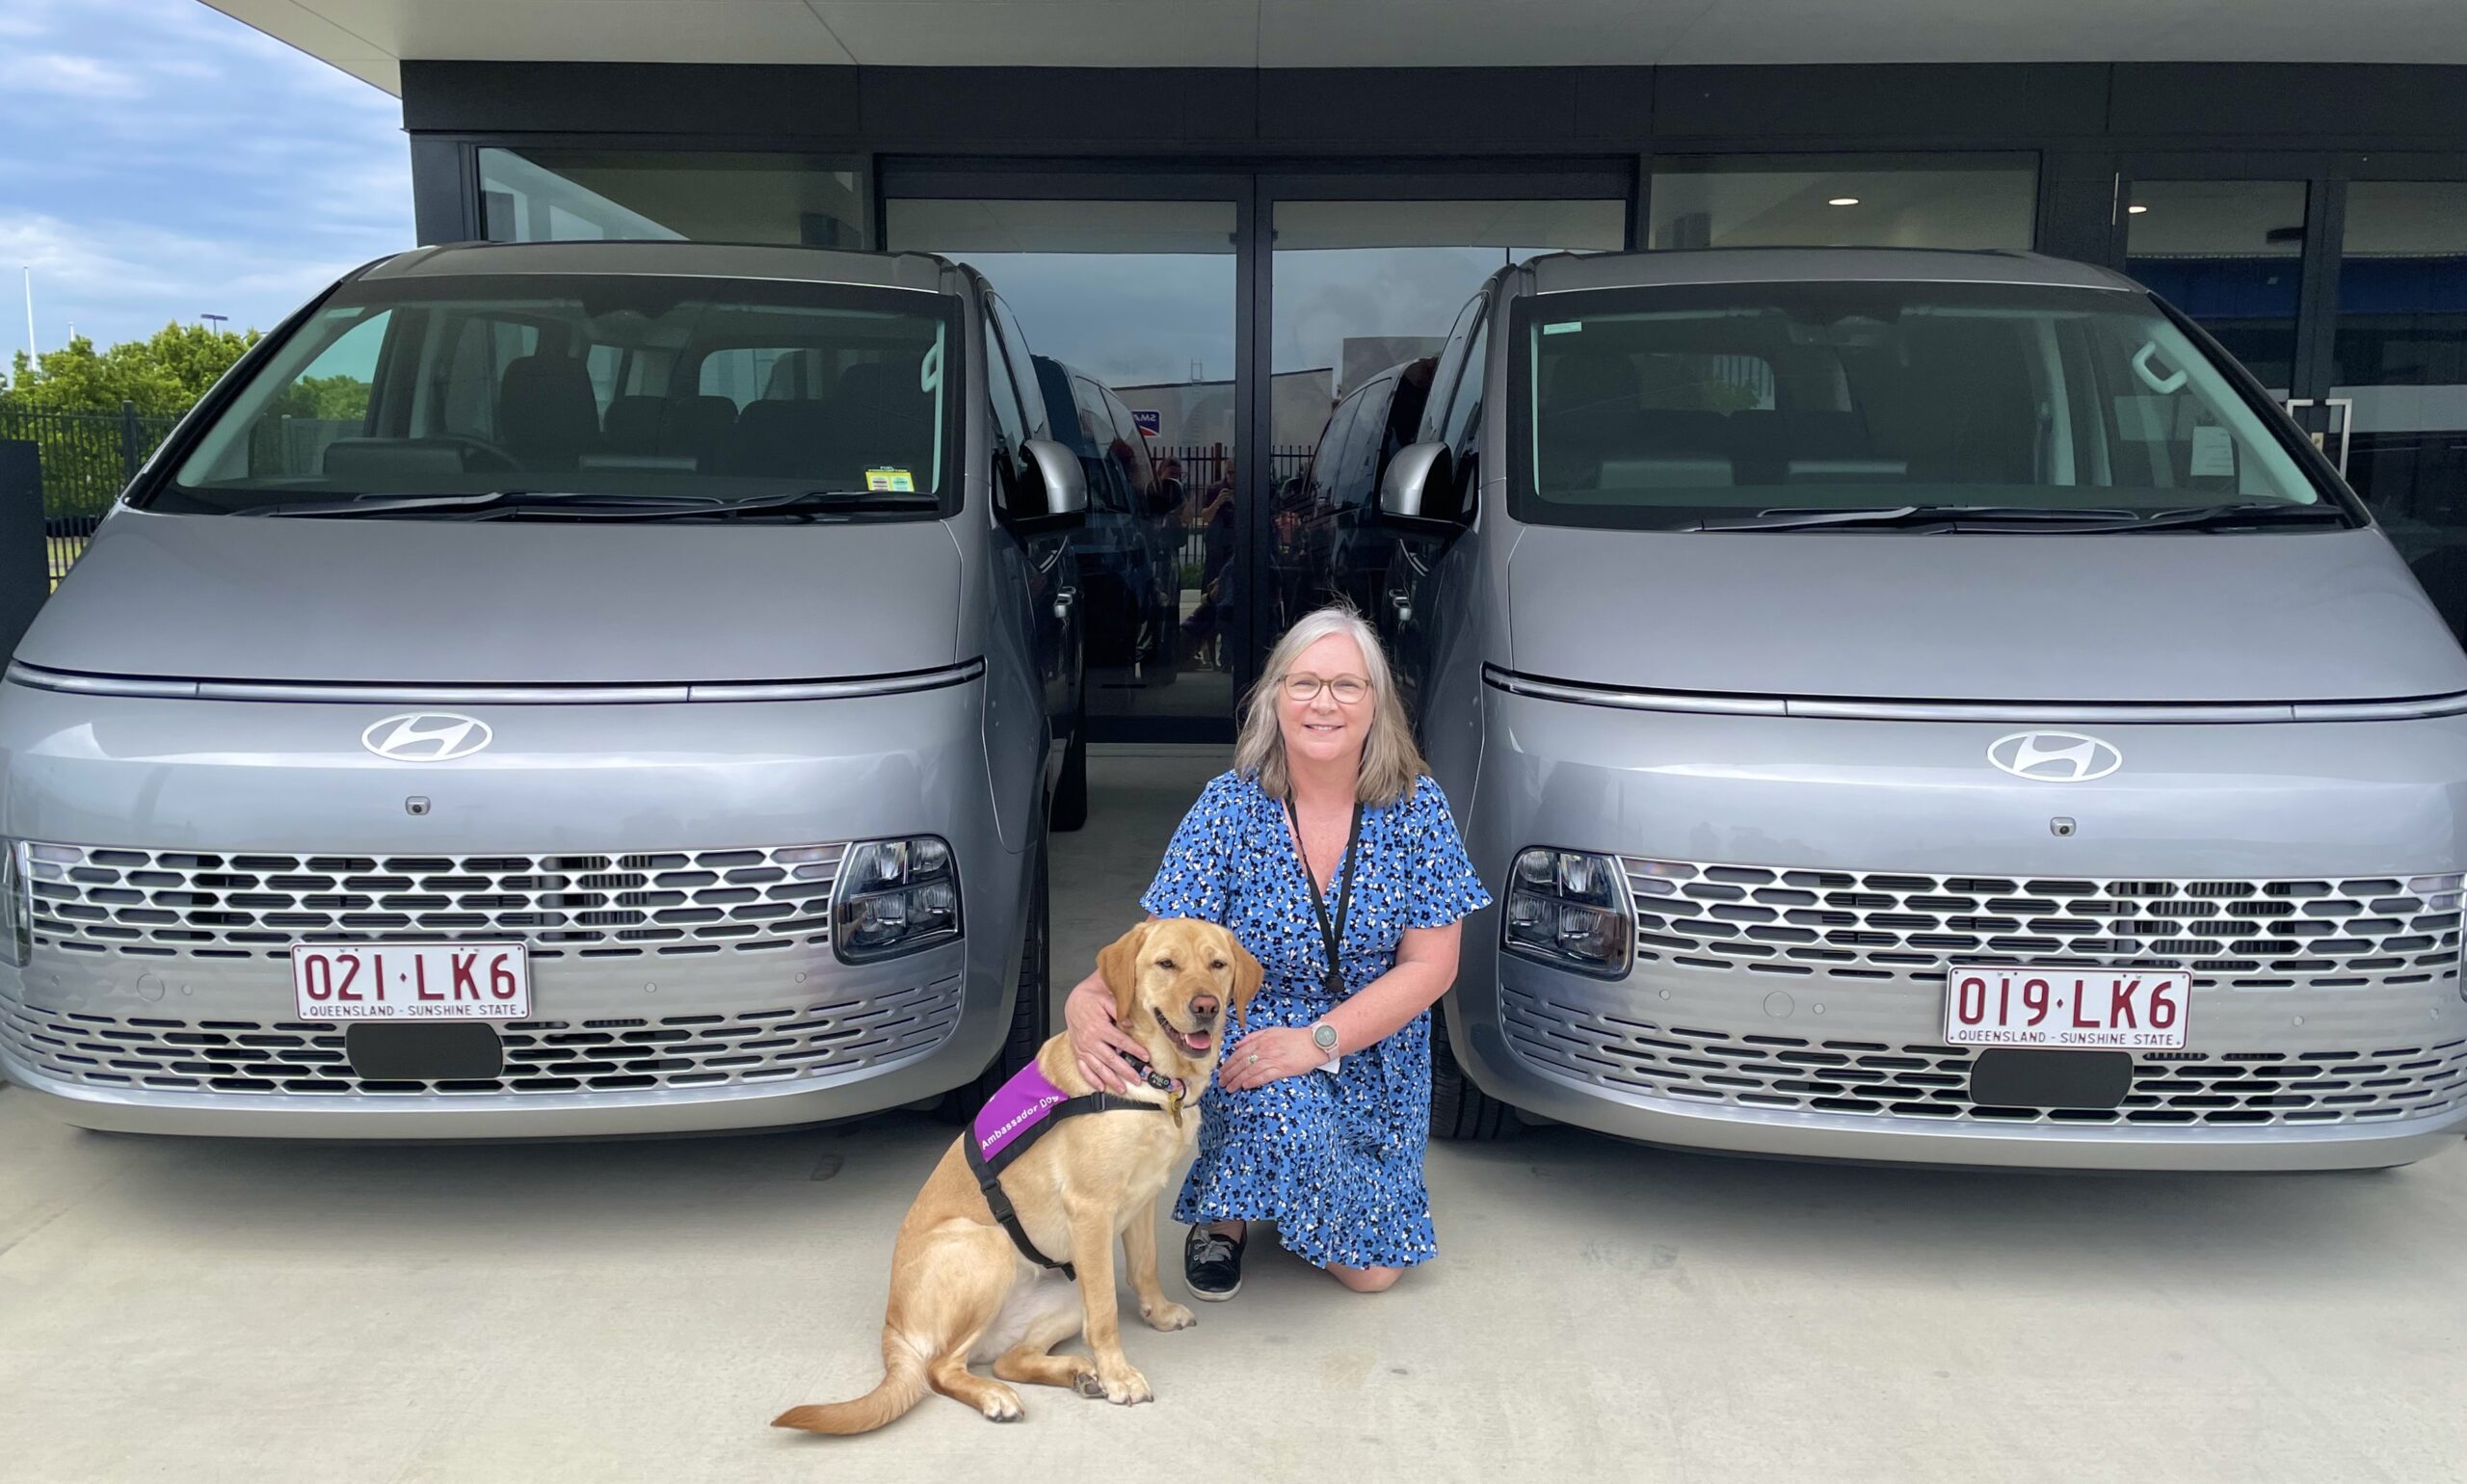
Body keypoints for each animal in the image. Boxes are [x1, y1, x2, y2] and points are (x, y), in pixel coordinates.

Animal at [769, 916, 1262, 1429]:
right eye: (1166, 964)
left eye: (1218, 964)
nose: (1206, 1007)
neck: (1149, 1075)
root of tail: (893, 1326)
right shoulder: (1091, 1211)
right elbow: (1106, 1313)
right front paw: (1118, 1376)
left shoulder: (1143, 1197)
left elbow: (1144, 1268)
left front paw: (1158, 1315)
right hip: (991, 1249)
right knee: (939, 1368)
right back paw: (998, 1395)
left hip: (1065, 1296)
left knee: (1009, 1359)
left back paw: (1076, 1374)